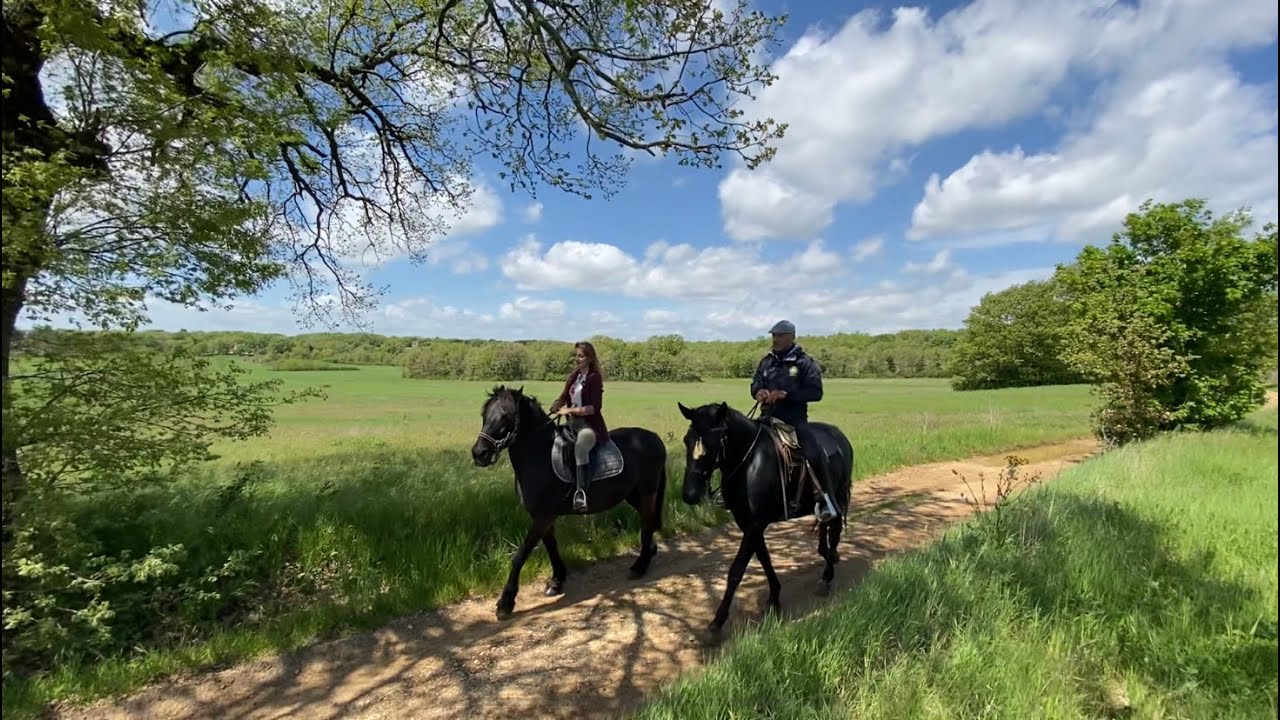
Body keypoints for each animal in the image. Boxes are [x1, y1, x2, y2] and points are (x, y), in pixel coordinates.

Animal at [471, 385, 669, 620]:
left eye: (505, 416)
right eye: (484, 415)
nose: (479, 453)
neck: (540, 455)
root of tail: (655, 438)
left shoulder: (544, 516)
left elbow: (521, 554)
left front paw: (505, 603)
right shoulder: (542, 516)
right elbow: (551, 546)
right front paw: (556, 581)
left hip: (647, 492)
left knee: (647, 523)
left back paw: (640, 566)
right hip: (633, 494)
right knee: (648, 521)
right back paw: (650, 552)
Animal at [677, 401, 854, 637]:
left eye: (713, 443)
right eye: (687, 440)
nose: (690, 494)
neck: (749, 463)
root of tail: (839, 435)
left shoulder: (754, 525)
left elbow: (736, 571)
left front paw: (717, 622)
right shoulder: (749, 525)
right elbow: (764, 559)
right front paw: (774, 597)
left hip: (838, 494)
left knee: (834, 528)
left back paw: (827, 576)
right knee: (826, 526)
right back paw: (827, 556)